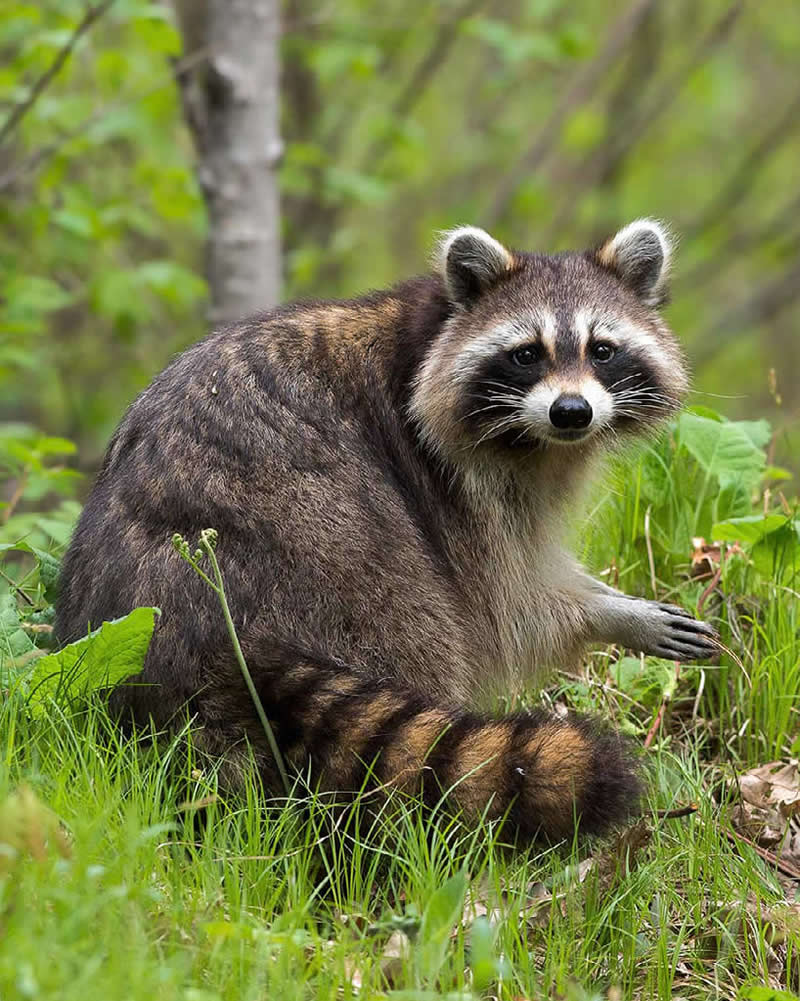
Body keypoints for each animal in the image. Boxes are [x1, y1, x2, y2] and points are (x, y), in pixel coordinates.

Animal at [55, 219, 716, 841]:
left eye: (602, 349)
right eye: (527, 353)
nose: (571, 412)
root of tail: (192, 612)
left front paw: (608, 597)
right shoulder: (452, 478)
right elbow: (509, 603)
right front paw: (607, 613)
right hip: (339, 557)